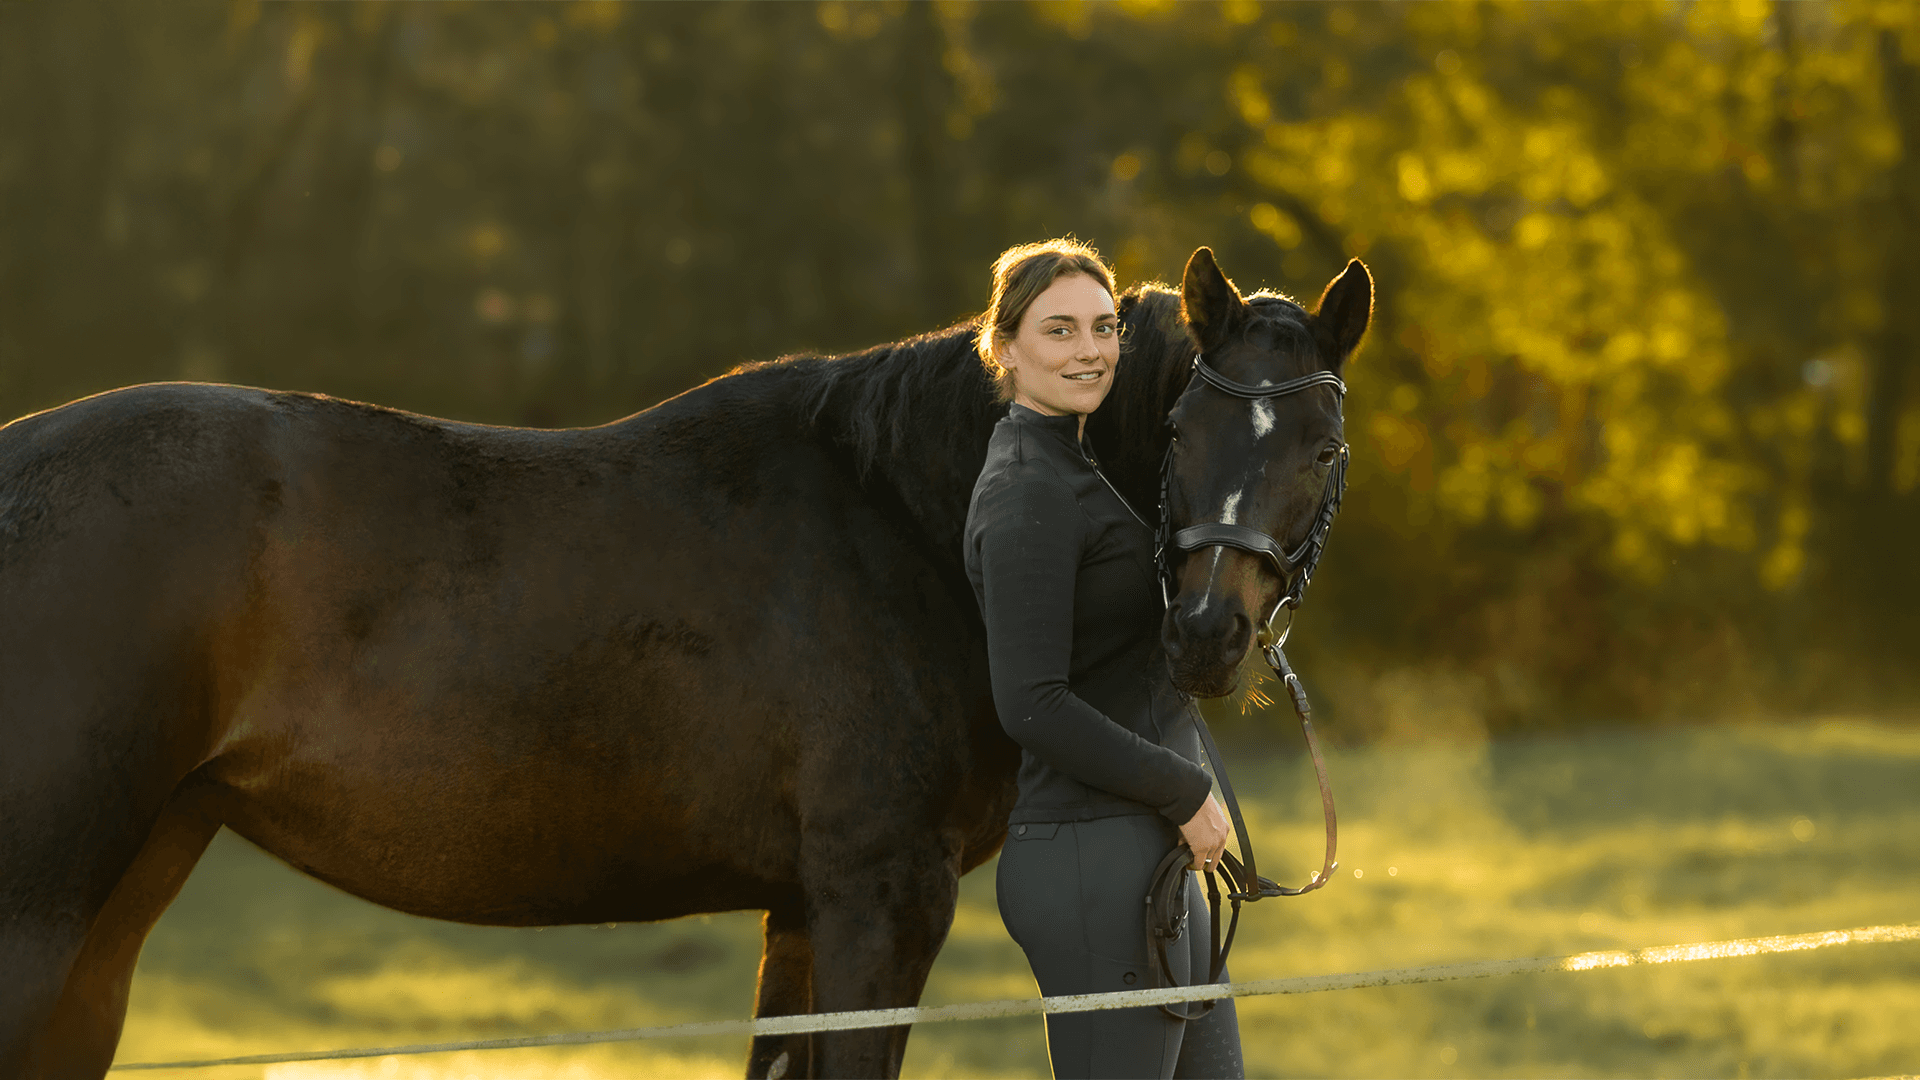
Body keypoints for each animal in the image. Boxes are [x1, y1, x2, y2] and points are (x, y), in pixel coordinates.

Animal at [0, 247, 1370, 1079]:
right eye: (1184, 429)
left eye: (1317, 444)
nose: (1207, 633)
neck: (906, 515)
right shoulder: (883, 897)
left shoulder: (804, 912)